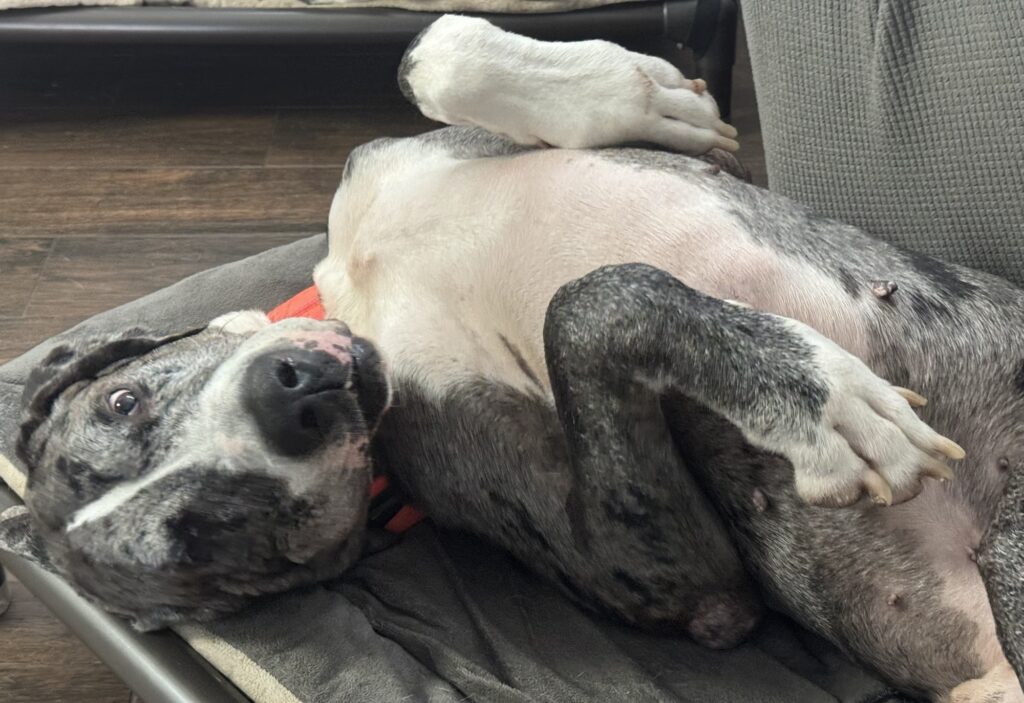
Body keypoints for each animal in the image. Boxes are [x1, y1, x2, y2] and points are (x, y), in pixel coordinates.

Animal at [2, 15, 1022, 703]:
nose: (289, 398)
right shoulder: (688, 582)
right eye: (204, 538)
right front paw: (822, 405)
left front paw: (656, 94)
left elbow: (434, 51)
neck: (352, 281)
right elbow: (591, 300)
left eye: (123, 400)